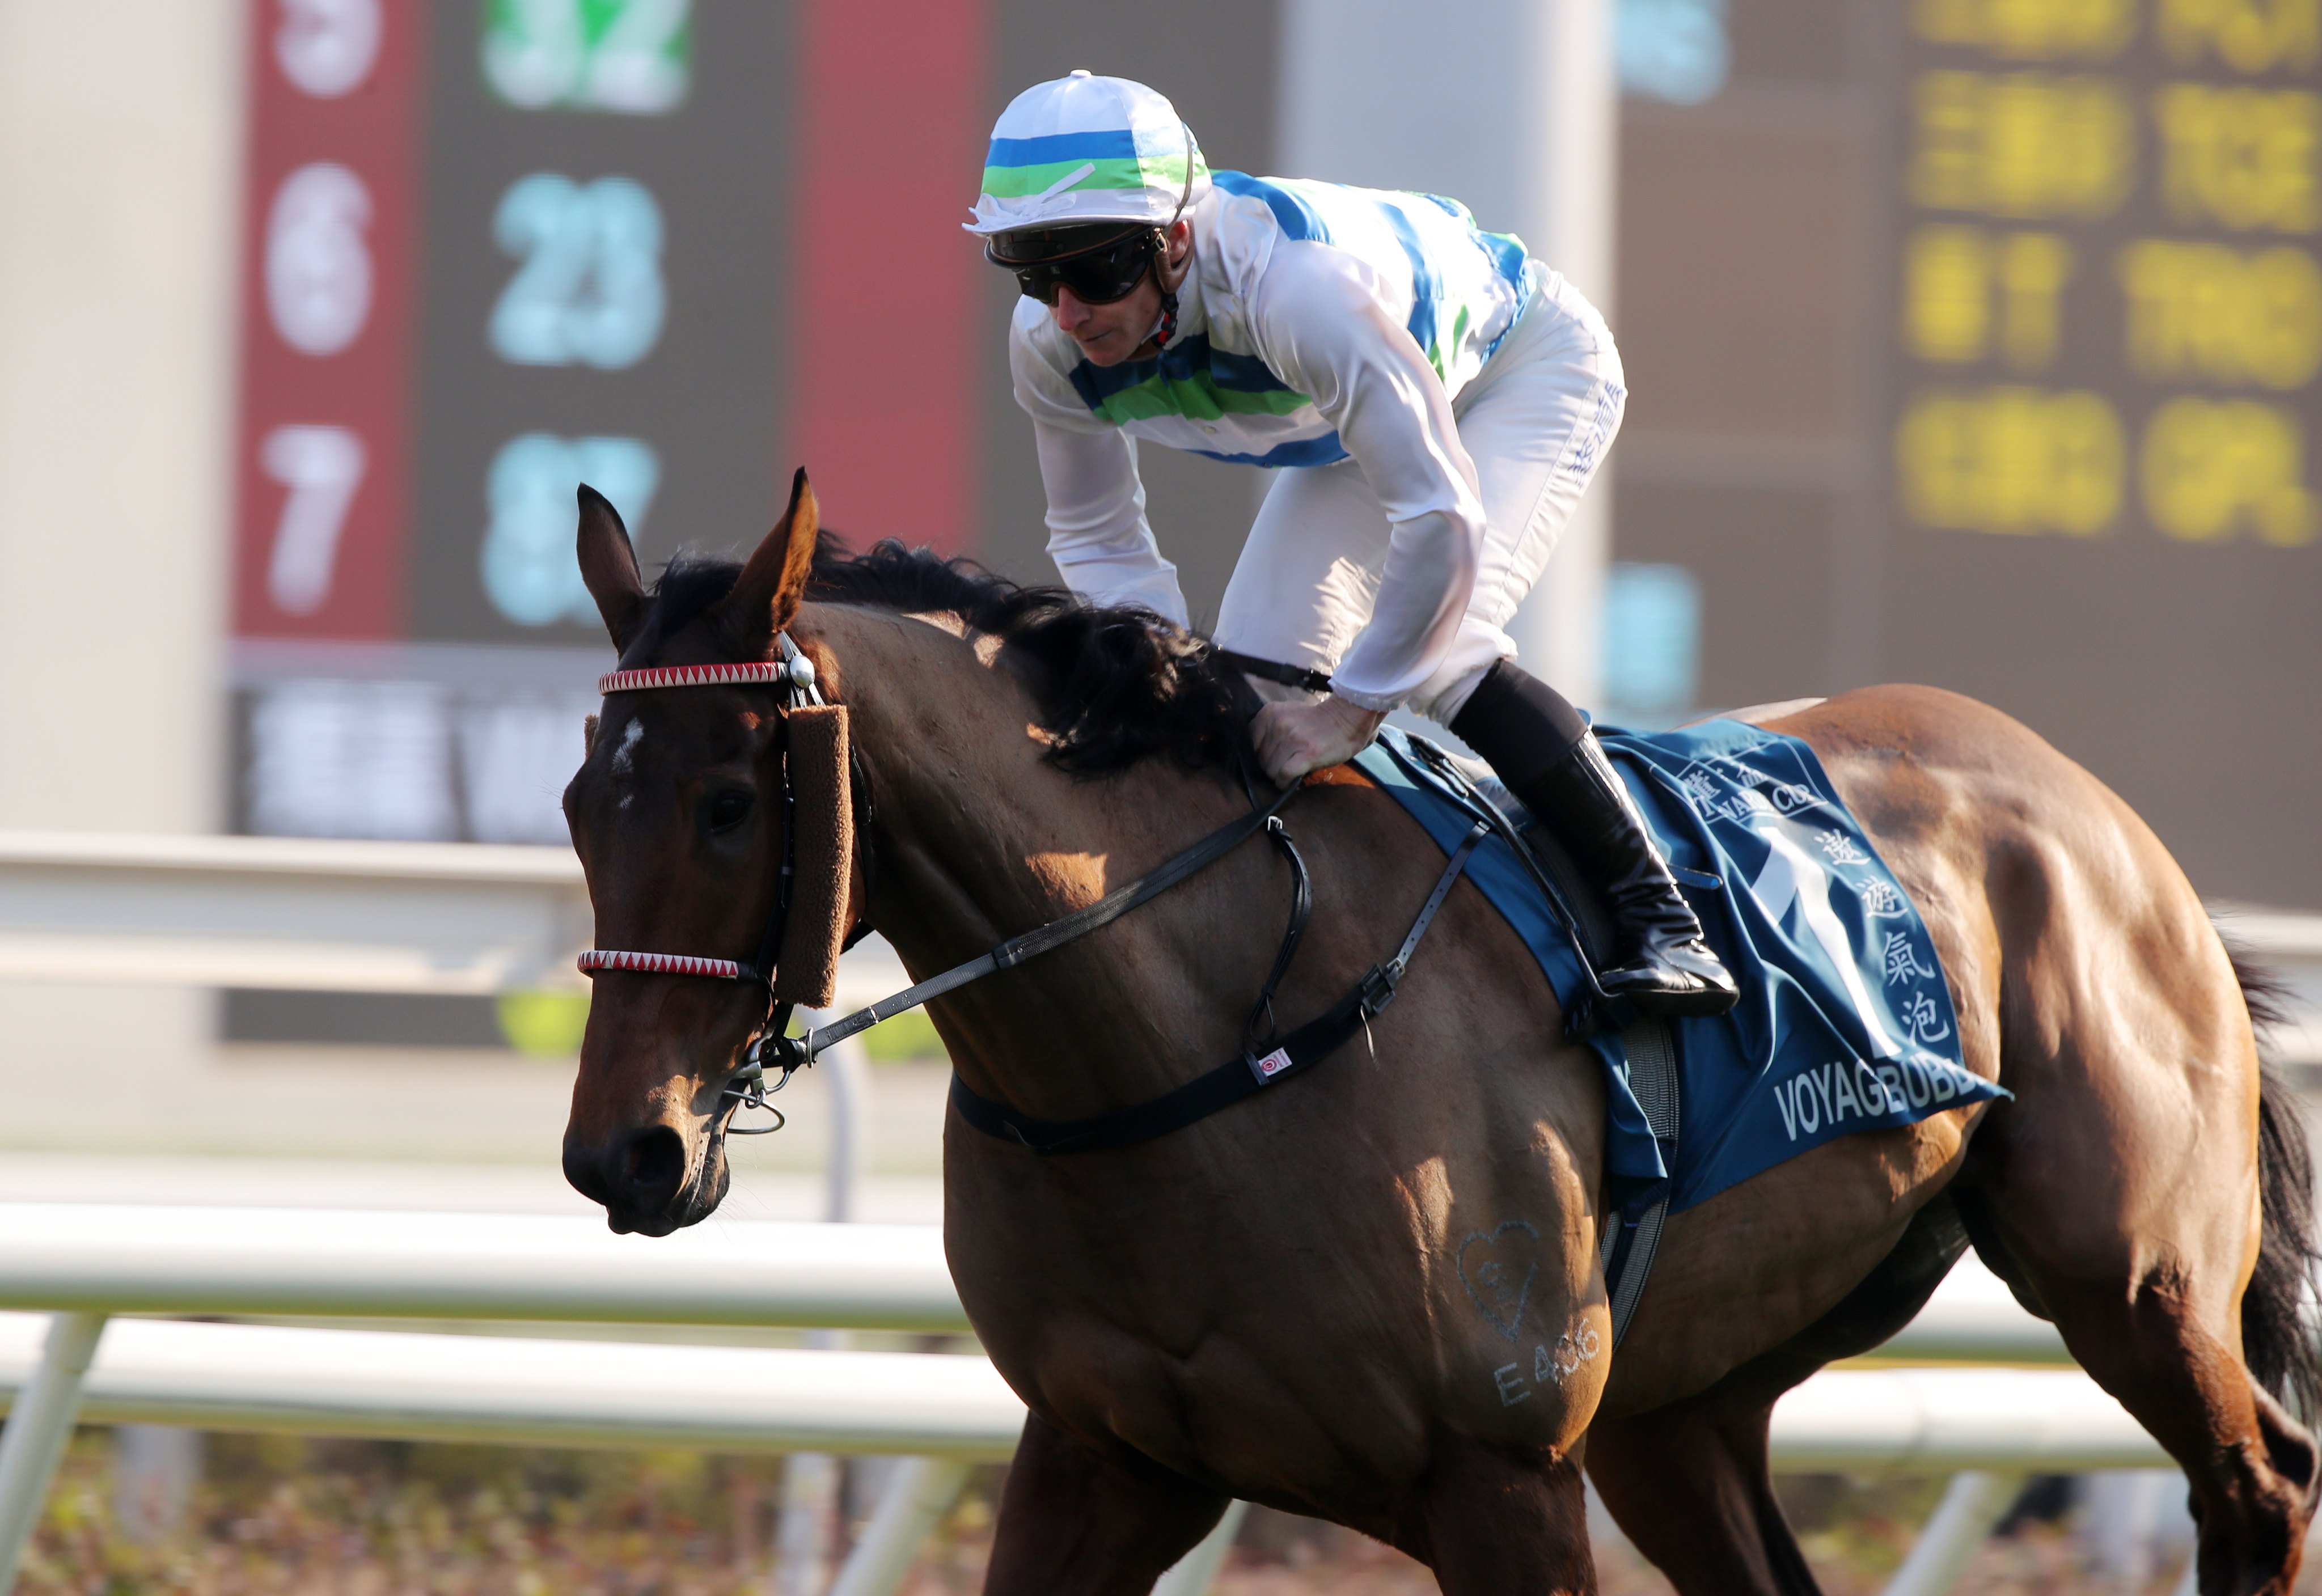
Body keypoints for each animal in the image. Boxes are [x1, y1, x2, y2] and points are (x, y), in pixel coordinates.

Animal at [552, 481, 2312, 1589]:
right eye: (579, 799)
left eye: (728, 800)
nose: (621, 1151)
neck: (1192, 1046)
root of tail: (2110, 819)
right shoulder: (1100, 1454)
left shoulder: (1502, 1469)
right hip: (1679, 1408)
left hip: (2133, 1280)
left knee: (2262, 1482)